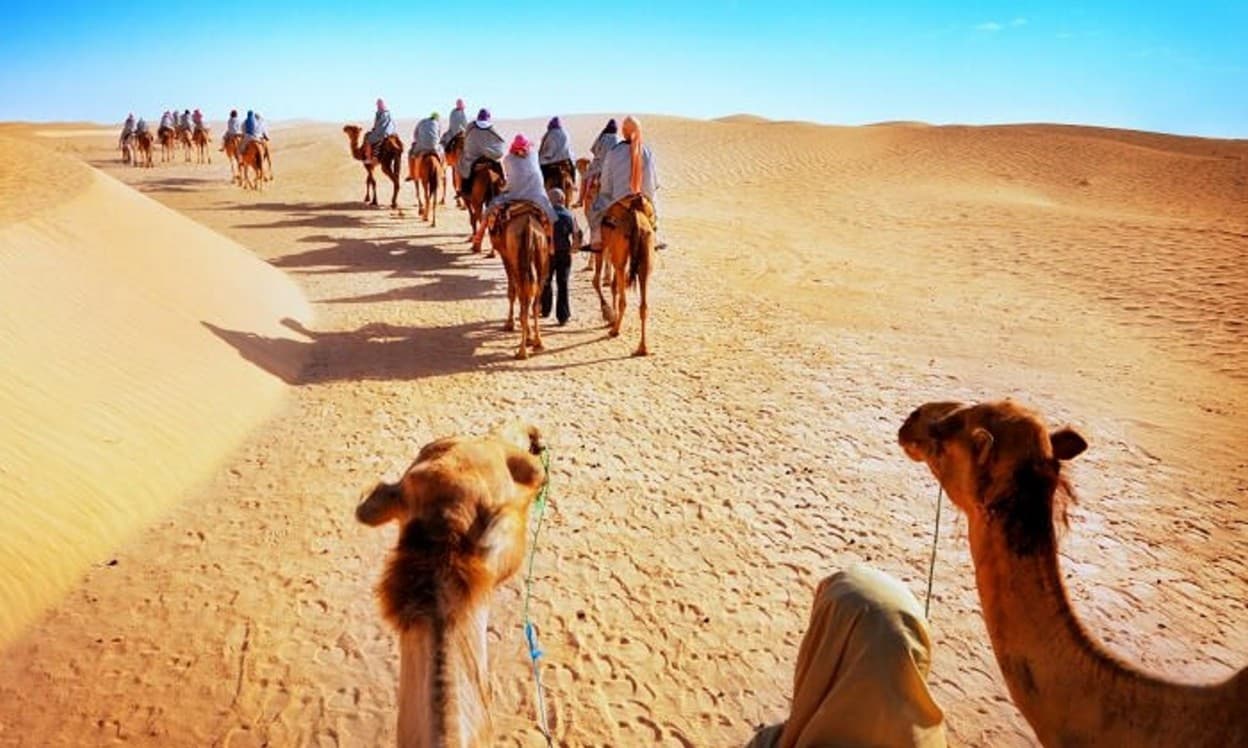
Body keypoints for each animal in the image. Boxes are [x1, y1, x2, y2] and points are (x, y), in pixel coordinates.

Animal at [488, 204, 552, 359]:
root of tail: (529, 227)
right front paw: (529, 336)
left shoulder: (506, 257)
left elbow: (512, 292)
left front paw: (509, 324)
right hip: (541, 259)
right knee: (534, 302)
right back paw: (538, 343)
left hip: (518, 261)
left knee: (524, 299)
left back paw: (522, 351)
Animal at [598, 195, 656, 356]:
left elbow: (613, 286)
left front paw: (610, 316)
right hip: (645, 261)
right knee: (644, 305)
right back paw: (643, 348)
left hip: (619, 257)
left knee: (622, 298)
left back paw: (615, 330)